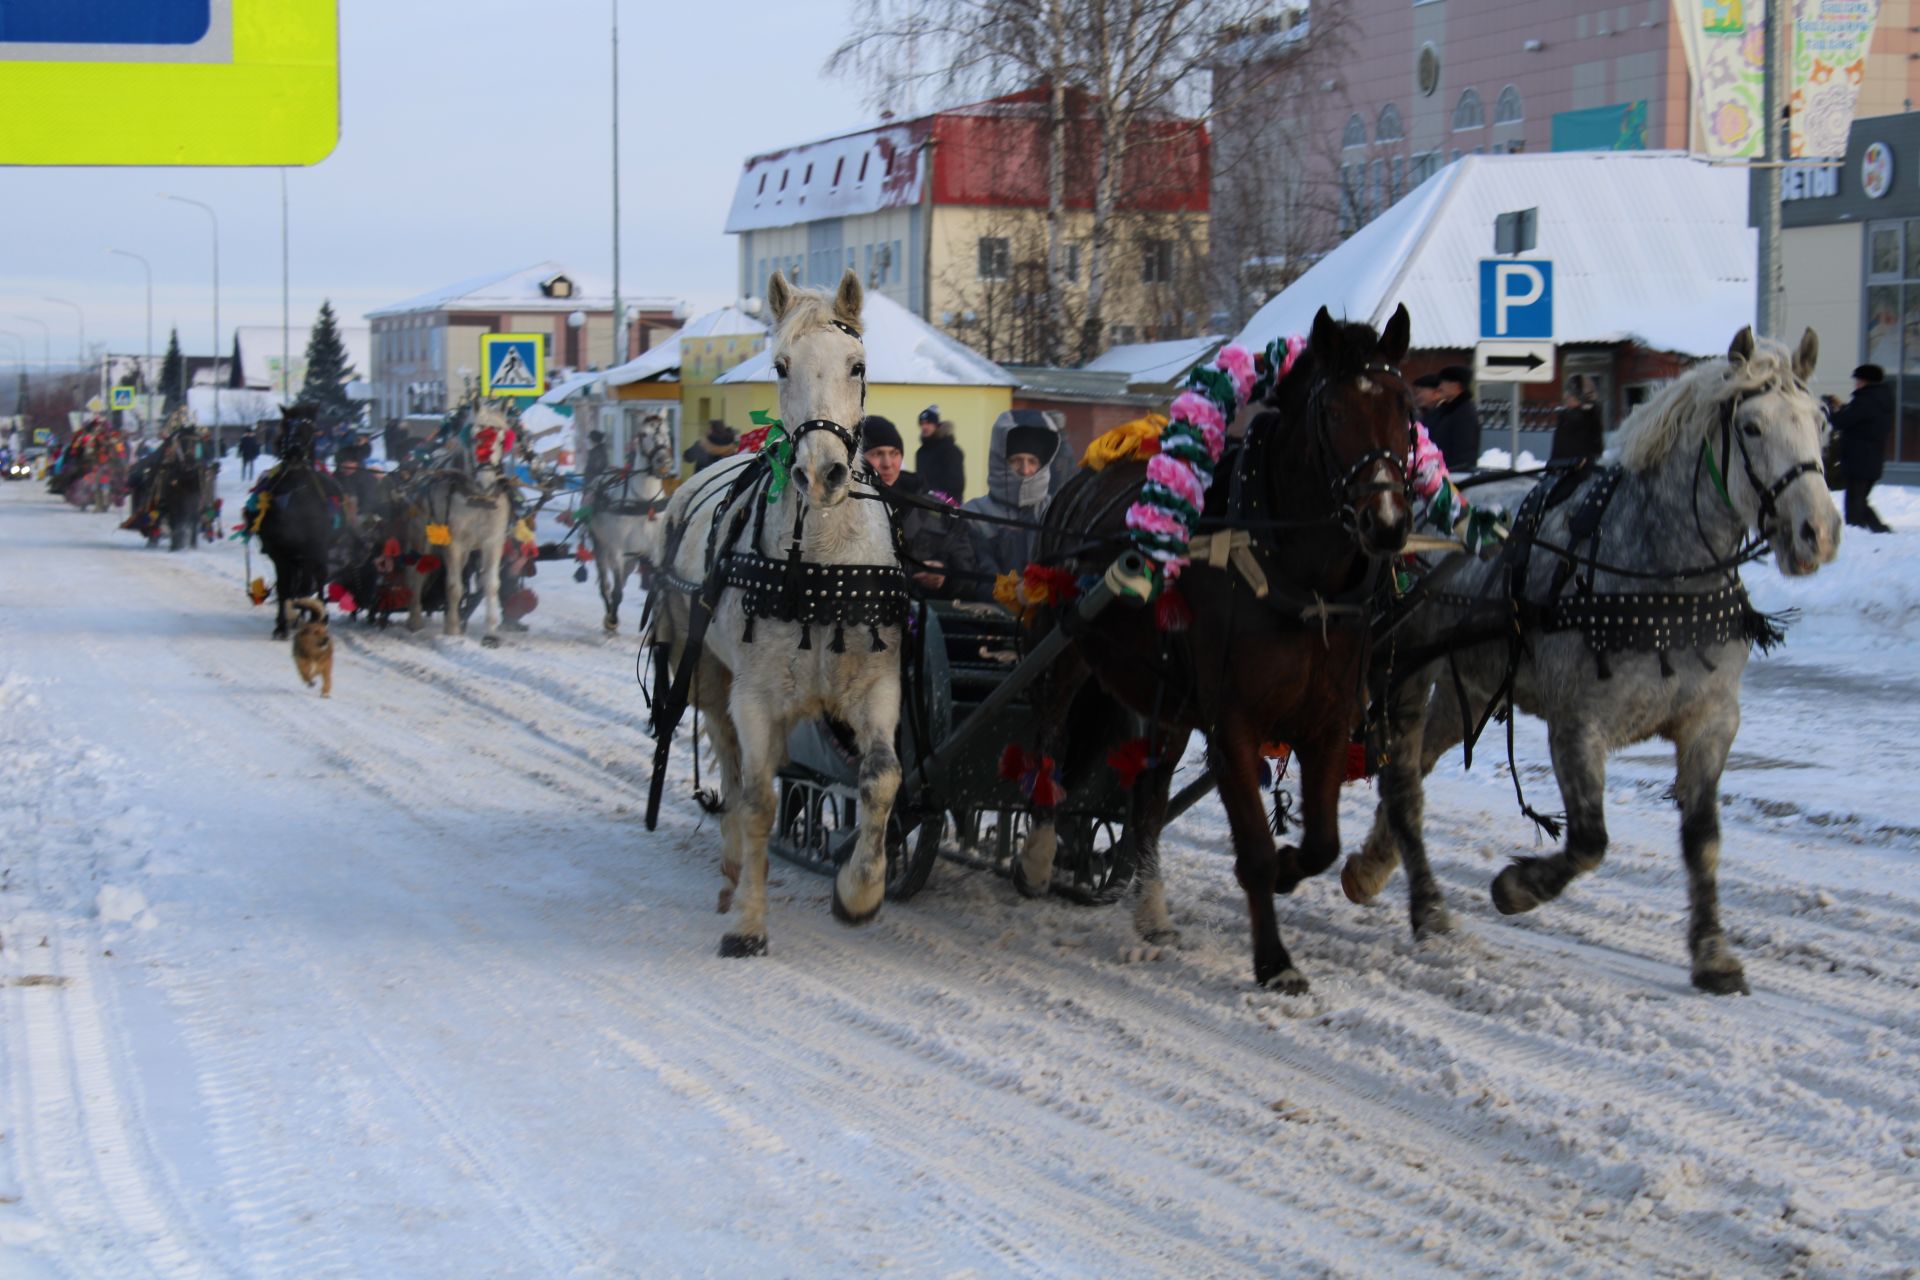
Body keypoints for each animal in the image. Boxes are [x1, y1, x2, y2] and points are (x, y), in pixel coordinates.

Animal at [403, 402, 514, 644]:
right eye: (474, 438)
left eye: (502, 440)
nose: (486, 480)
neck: (479, 498)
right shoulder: (455, 543)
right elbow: (454, 587)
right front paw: (453, 630)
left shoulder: (493, 542)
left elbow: (491, 584)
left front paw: (491, 633)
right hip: (422, 538)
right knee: (417, 573)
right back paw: (415, 619)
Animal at [583, 416, 675, 637]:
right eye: (643, 434)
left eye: (667, 432)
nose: (663, 461)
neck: (644, 502)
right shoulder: (616, 549)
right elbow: (616, 591)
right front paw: (612, 621)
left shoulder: (655, 552)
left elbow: (655, 590)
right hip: (601, 546)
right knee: (606, 585)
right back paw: (609, 615)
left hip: (633, 557)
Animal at [648, 270, 902, 955]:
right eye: (781, 366)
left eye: (857, 364)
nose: (823, 473)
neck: (820, 566)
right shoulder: (756, 696)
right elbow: (760, 799)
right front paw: (749, 922)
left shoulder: (877, 688)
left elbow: (881, 778)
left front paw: (859, 893)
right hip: (707, 673)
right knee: (735, 767)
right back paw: (736, 865)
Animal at [1029, 305, 1420, 997]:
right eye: (1332, 411)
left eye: (1404, 406)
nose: (1388, 523)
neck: (1297, 577)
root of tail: (1078, 481)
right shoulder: (1232, 722)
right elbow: (1255, 849)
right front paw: (1275, 960)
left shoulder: (1326, 720)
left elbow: (1321, 842)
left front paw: (1291, 869)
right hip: (1068, 647)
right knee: (1051, 738)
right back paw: (1040, 853)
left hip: (1165, 701)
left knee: (1149, 794)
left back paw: (1152, 911)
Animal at [1351, 326, 1843, 997]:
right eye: (1752, 428)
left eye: (1820, 422)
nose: (1816, 532)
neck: (1658, 579)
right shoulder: (1578, 724)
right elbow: (1589, 840)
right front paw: (1517, 888)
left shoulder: (1711, 722)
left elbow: (1703, 840)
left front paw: (1713, 954)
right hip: (1402, 666)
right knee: (1403, 781)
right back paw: (1426, 906)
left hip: (1467, 685)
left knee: (1417, 767)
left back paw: (1371, 865)